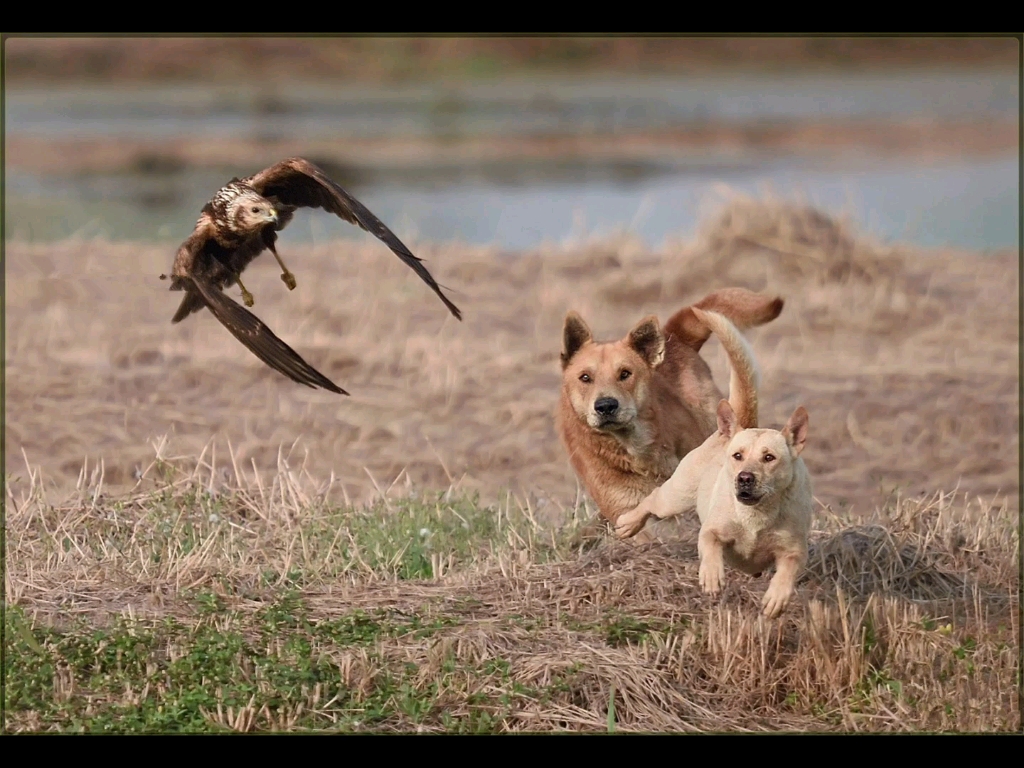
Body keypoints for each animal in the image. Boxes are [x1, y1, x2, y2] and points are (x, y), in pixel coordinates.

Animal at [561, 286, 782, 536]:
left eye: (625, 374)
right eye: (585, 377)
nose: (606, 406)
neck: (639, 452)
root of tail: (672, 336)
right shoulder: (627, 510)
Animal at [610, 309, 811, 618]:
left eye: (769, 457)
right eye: (737, 456)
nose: (744, 477)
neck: (756, 515)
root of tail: (733, 426)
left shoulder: (794, 549)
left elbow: (788, 570)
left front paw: (776, 598)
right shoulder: (713, 530)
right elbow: (710, 543)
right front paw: (712, 576)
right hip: (677, 495)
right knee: (653, 499)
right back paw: (628, 524)